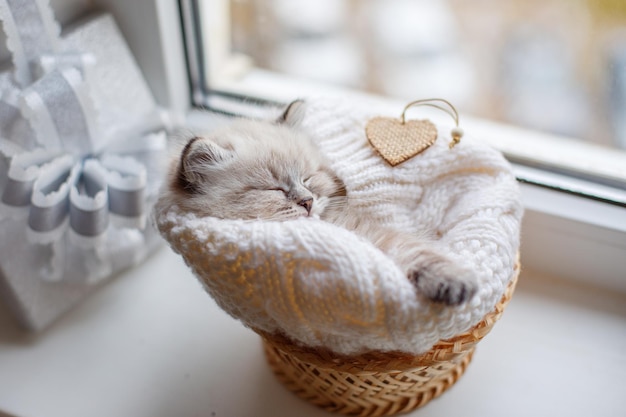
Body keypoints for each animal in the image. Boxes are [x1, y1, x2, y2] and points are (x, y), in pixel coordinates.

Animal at [163, 99, 476, 304]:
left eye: (308, 178)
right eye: (273, 189)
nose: (307, 202)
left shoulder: (373, 233)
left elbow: (417, 253)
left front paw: (454, 282)